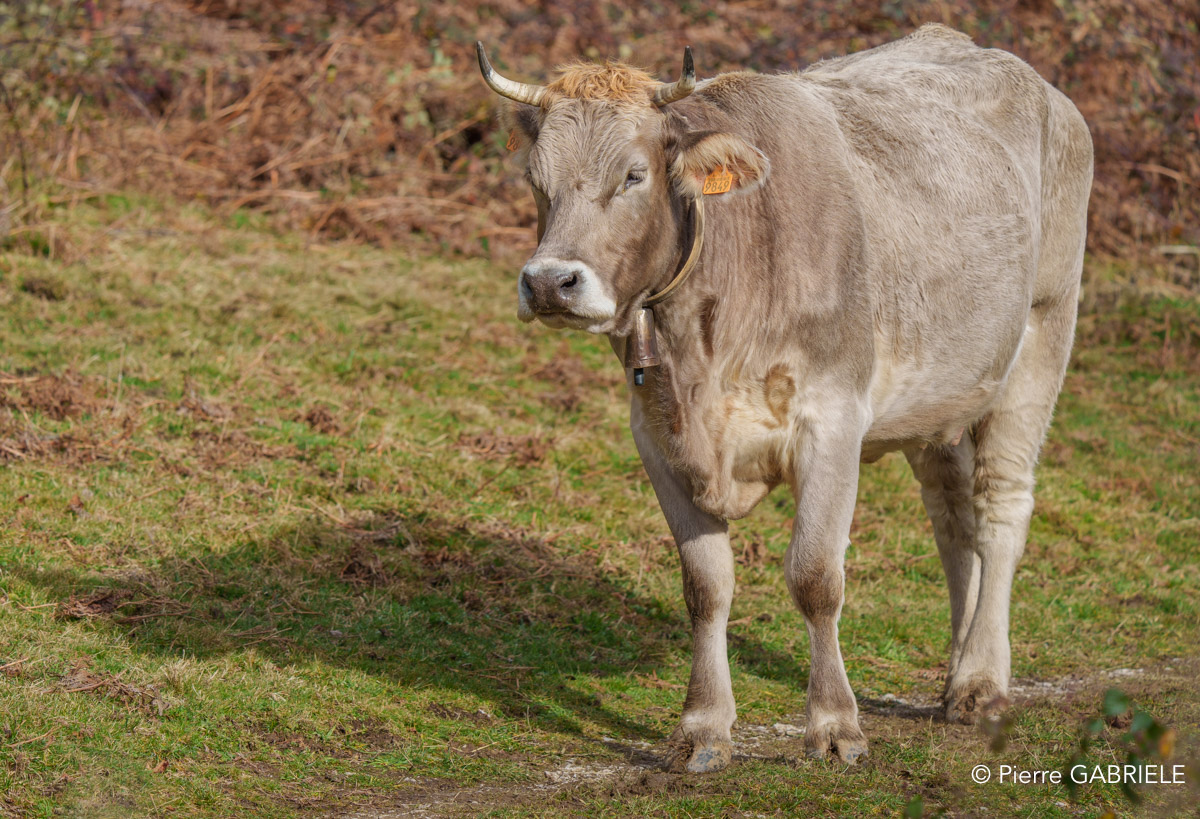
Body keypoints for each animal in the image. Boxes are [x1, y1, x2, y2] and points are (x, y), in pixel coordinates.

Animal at [476, 24, 1092, 772]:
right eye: (536, 181)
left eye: (633, 174)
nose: (549, 282)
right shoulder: (656, 433)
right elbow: (705, 585)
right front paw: (702, 727)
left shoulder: (832, 419)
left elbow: (816, 576)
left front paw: (835, 725)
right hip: (939, 396)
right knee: (954, 520)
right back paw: (955, 672)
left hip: (1042, 333)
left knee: (1001, 508)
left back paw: (981, 682)